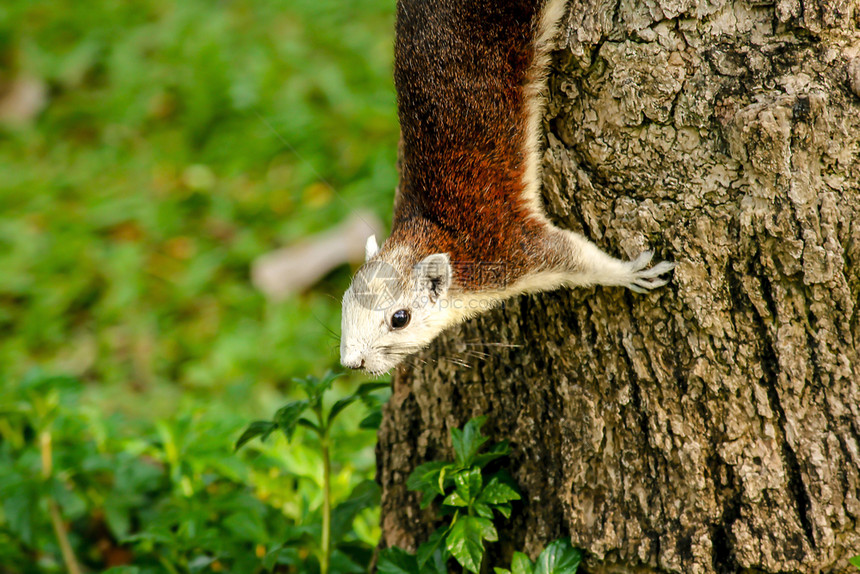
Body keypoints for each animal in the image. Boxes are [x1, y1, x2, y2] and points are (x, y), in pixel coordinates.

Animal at [340, 0, 676, 376]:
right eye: (344, 303)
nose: (352, 362)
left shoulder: (511, 246)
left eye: (400, 318)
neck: (431, 225)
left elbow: (577, 256)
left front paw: (631, 271)